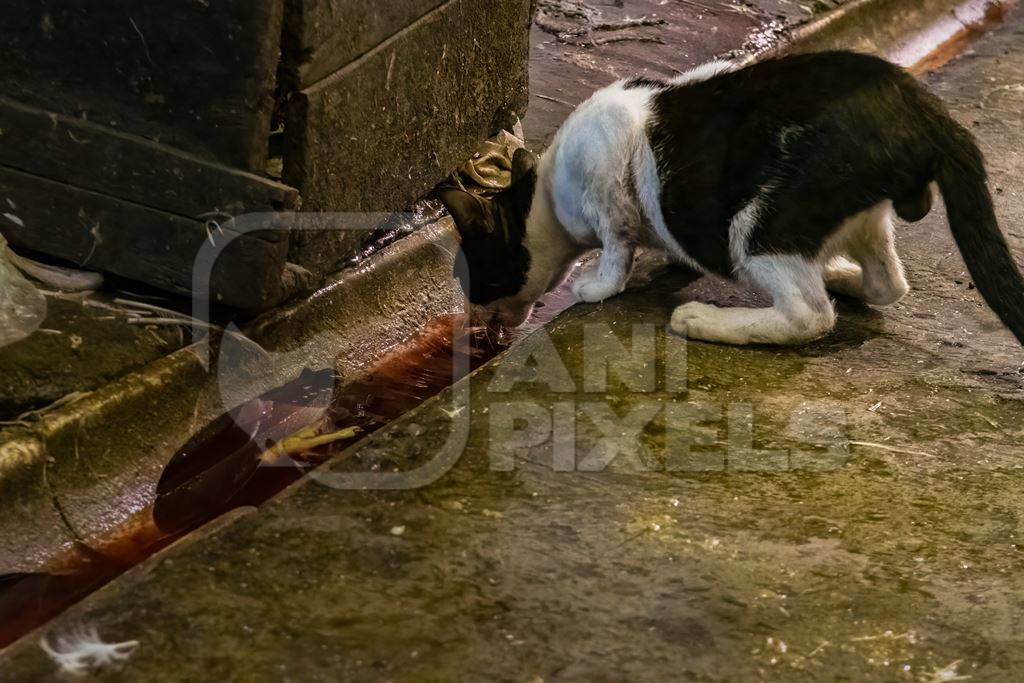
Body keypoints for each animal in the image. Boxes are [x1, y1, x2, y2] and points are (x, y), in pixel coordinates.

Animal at [440, 52, 1024, 348]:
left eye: (474, 278)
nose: (474, 322)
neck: (542, 199)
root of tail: (923, 110)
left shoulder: (609, 199)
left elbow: (614, 254)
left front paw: (596, 287)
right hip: (865, 218)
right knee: (888, 283)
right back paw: (839, 275)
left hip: (755, 228)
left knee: (809, 316)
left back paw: (705, 322)